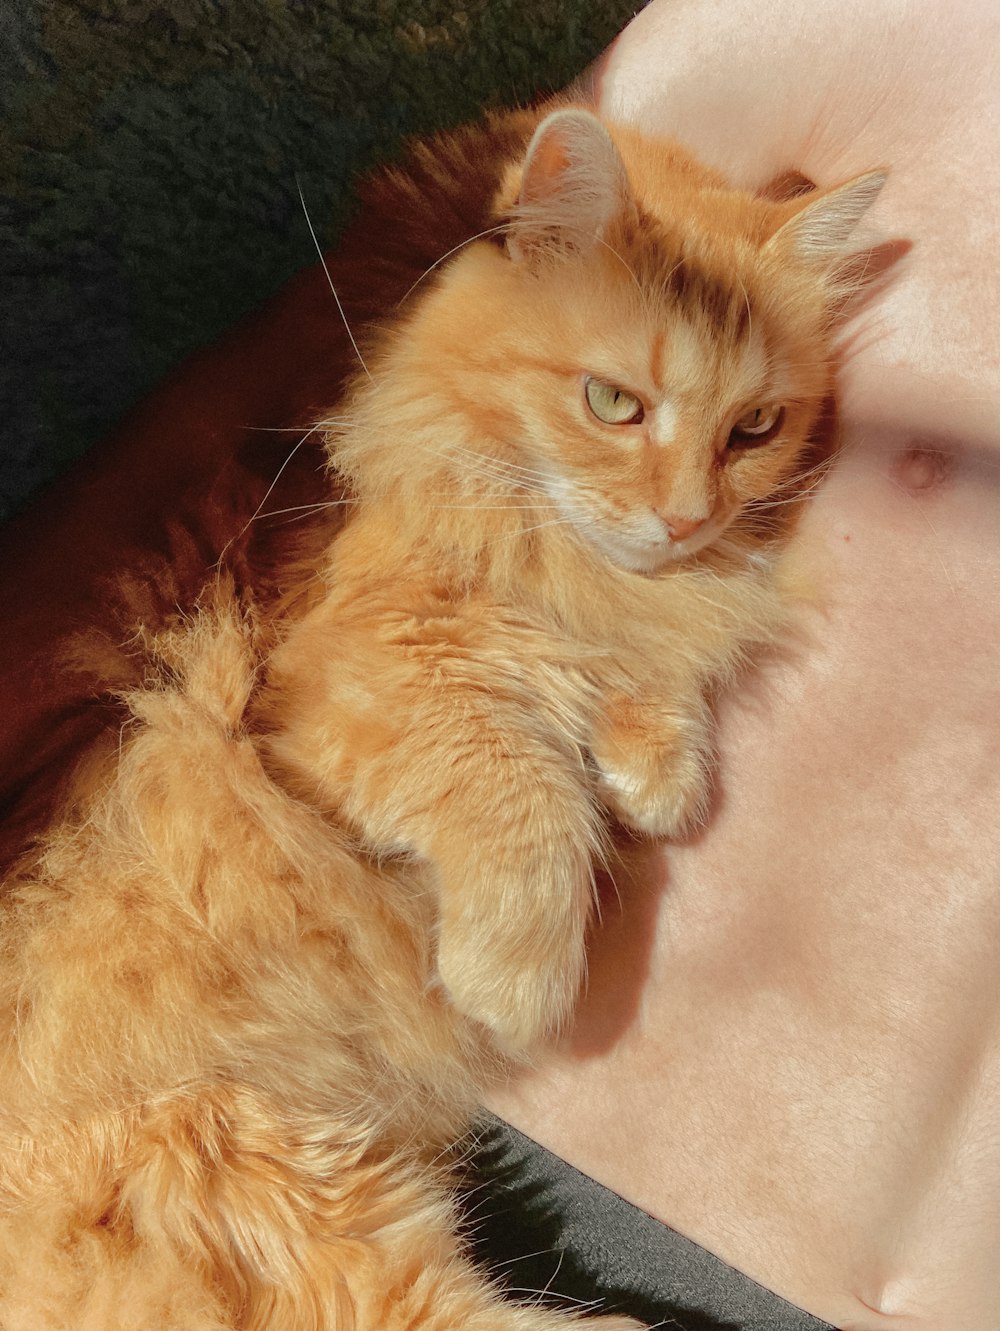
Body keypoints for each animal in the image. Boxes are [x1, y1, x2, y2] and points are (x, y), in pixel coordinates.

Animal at [0, 106, 884, 1331]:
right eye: (615, 403)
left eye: (754, 427)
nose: (686, 517)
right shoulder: (343, 683)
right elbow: (520, 788)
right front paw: (512, 979)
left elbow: (622, 669)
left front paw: (654, 765)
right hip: (250, 1163)